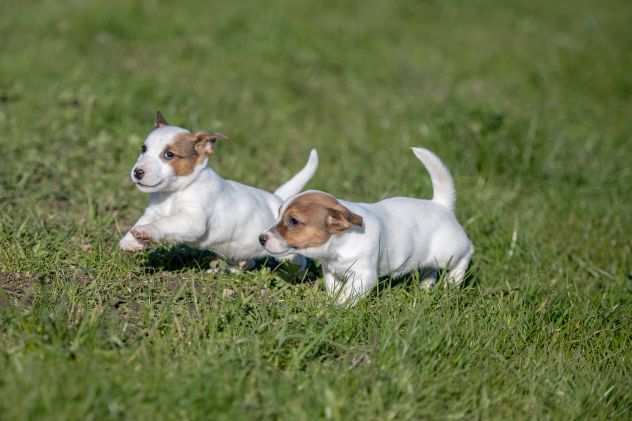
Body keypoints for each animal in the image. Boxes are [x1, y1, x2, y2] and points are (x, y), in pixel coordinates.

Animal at [118, 111, 318, 270]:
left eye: (169, 155)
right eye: (143, 149)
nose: (137, 172)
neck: (174, 192)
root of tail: (278, 200)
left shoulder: (193, 220)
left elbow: (165, 223)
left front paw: (146, 232)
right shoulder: (153, 211)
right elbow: (143, 220)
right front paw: (130, 241)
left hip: (284, 252)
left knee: (298, 260)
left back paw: (298, 273)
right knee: (248, 261)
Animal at [260, 146, 472, 304]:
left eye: (293, 221)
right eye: (279, 216)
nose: (261, 238)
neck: (340, 243)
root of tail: (440, 205)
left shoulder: (364, 276)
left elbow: (348, 294)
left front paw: (338, 307)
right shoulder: (331, 272)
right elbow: (334, 288)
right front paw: (333, 300)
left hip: (449, 252)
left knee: (466, 253)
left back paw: (453, 282)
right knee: (430, 270)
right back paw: (425, 288)